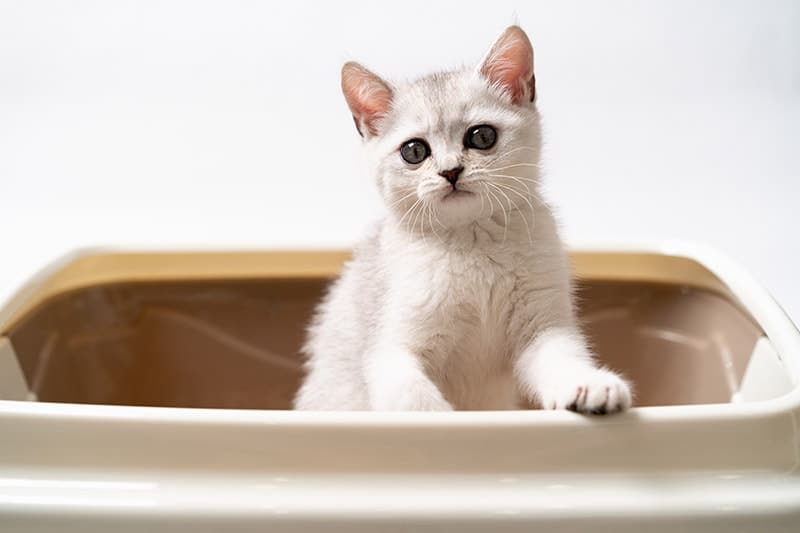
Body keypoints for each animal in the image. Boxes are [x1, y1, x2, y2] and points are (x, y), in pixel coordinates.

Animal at [294, 27, 632, 414]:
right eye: (414, 151)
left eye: (481, 136)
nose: (451, 171)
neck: (472, 241)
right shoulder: (390, 351)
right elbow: (417, 399)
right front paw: (443, 420)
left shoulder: (544, 327)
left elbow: (561, 358)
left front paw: (589, 384)